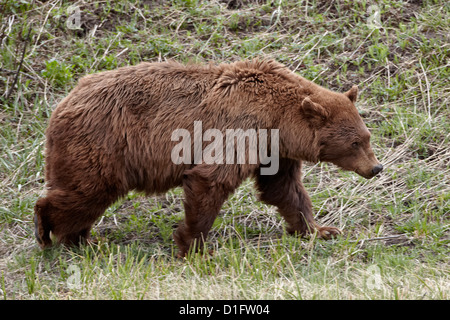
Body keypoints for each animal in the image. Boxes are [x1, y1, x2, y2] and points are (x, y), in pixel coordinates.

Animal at [33, 58, 382, 258]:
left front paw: (320, 229)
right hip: (104, 143)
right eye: (354, 143)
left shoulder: (273, 150)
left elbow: (285, 190)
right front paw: (194, 246)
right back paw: (50, 231)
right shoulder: (241, 129)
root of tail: (62, 103)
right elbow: (210, 180)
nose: (376, 167)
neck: (279, 121)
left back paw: (83, 241)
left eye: (367, 137)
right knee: (85, 192)